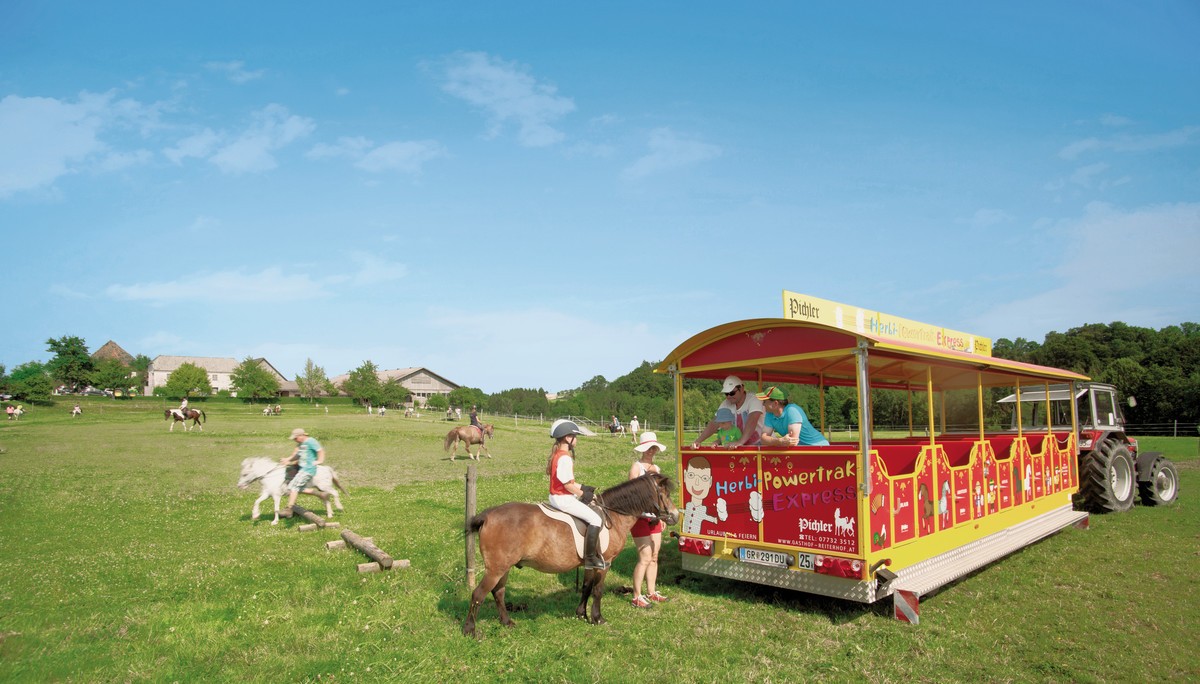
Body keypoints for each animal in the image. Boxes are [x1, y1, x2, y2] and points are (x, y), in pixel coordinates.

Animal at [460, 468, 681, 633]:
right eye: (665, 494)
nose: (675, 516)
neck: (613, 515)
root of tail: (488, 515)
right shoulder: (605, 563)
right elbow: (598, 590)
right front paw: (597, 618)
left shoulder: (591, 563)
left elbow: (586, 587)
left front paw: (581, 614)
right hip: (496, 569)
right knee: (478, 594)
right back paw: (470, 630)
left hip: (504, 568)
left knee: (498, 593)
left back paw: (506, 622)